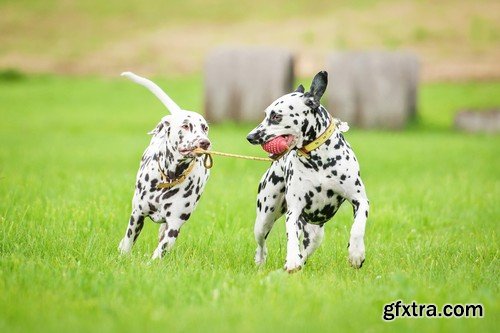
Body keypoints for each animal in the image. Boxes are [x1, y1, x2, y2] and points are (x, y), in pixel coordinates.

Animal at [118, 71, 210, 258]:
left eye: (205, 128)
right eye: (185, 126)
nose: (204, 142)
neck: (169, 178)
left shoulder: (174, 225)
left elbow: (159, 252)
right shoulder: (137, 215)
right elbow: (128, 242)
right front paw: (123, 255)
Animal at [246, 71, 368, 272]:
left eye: (276, 116)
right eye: (265, 114)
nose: (250, 136)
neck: (319, 161)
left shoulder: (360, 200)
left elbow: (358, 228)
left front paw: (356, 253)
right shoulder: (294, 212)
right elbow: (292, 238)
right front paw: (292, 259)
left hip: (315, 235)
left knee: (307, 249)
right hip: (264, 219)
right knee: (261, 245)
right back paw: (262, 262)